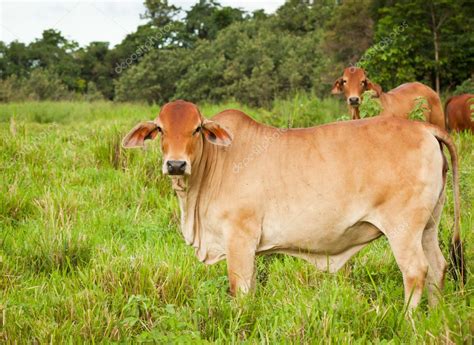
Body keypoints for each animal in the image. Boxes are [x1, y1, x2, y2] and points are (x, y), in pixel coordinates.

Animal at [122, 100, 462, 310]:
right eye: (161, 129)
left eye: (196, 128)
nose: (176, 165)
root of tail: (423, 128)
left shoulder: (240, 238)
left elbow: (240, 291)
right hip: (428, 225)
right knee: (438, 266)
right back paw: (433, 316)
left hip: (403, 228)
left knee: (416, 270)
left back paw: (407, 322)